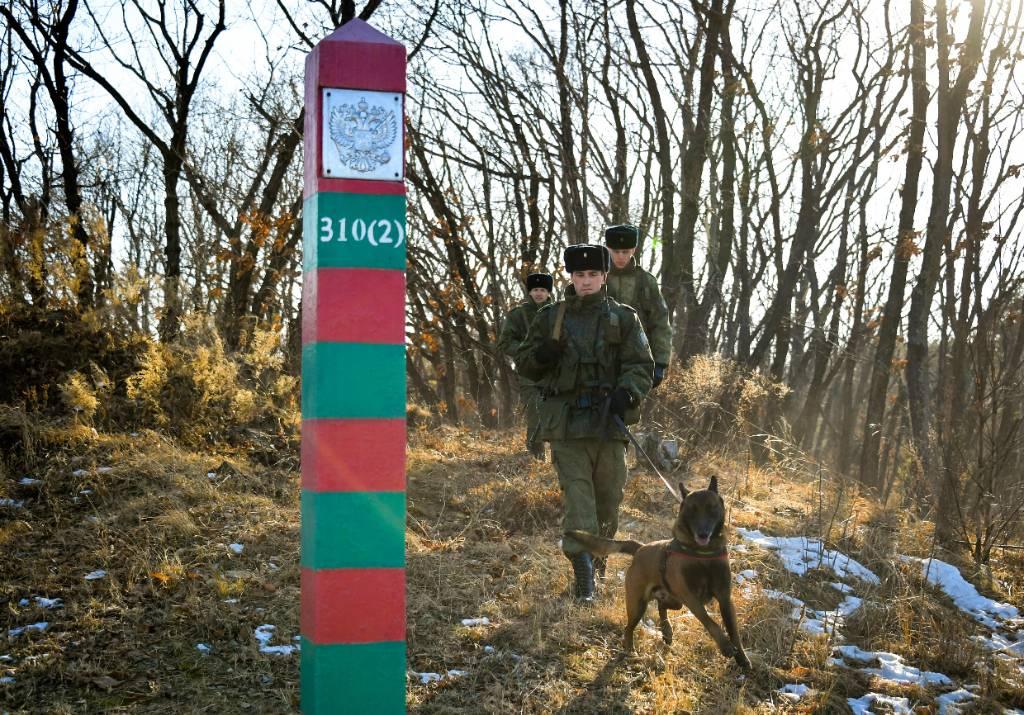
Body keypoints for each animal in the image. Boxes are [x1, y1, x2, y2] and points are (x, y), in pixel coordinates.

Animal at [565, 475, 749, 663]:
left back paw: (666, 631)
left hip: (675, 601)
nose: (702, 533)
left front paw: (742, 659)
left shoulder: (725, 599)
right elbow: (710, 621)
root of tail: (640, 547)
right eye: (692, 510)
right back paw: (630, 649)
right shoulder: (691, 598)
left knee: (661, 606)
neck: (702, 553)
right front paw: (725, 646)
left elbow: (734, 632)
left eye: (712, 508)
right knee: (629, 627)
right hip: (638, 604)